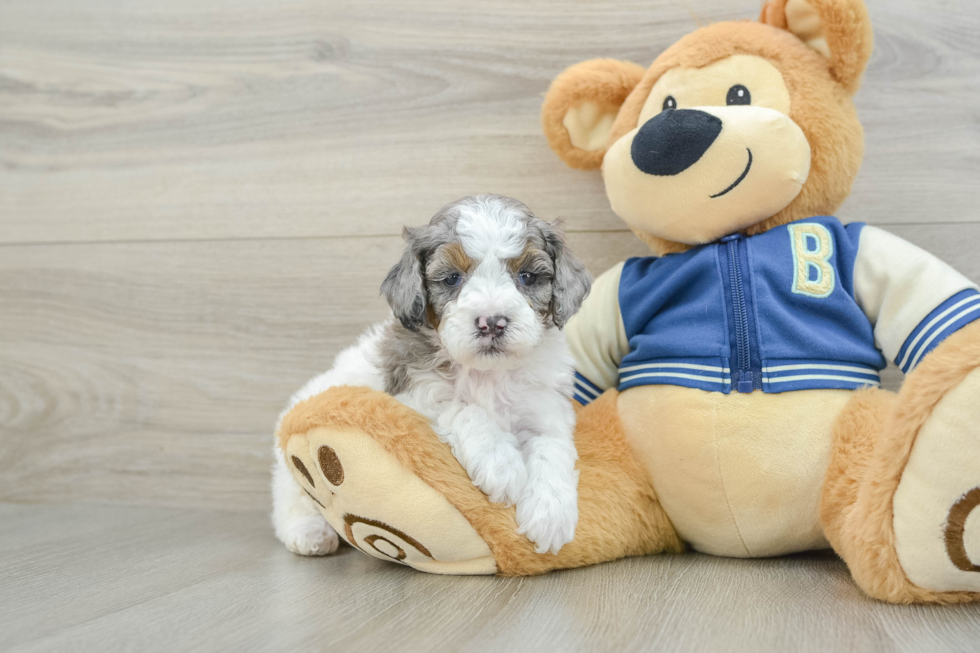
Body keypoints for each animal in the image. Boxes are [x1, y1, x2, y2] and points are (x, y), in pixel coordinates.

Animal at [270, 192, 588, 556]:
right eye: (452, 278)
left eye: (528, 277)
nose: (492, 322)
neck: (487, 374)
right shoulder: (410, 394)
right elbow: (462, 408)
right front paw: (500, 462)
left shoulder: (546, 407)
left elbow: (552, 446)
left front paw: (551, 514)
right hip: (291, 472)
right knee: (291, 497)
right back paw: (310, 533)